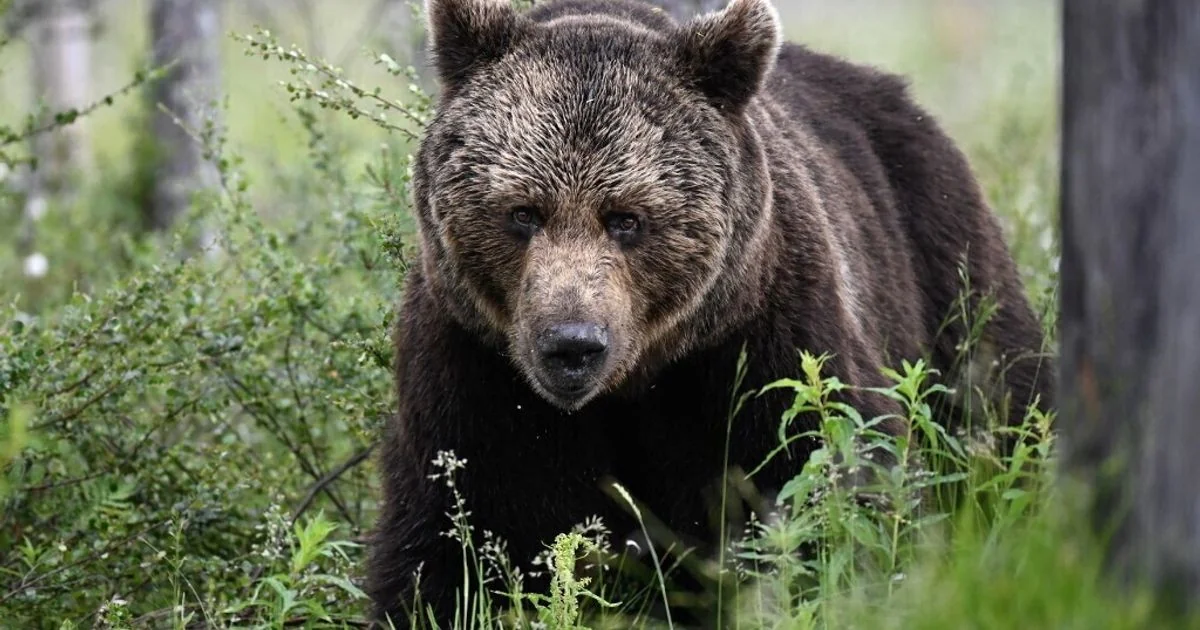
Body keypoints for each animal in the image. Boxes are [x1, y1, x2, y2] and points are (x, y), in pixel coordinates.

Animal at [365, 0, 1056, 626]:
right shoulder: (474, 370)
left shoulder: (758, 344)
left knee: (1001, 402)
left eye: (627, 218)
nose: (572, 345)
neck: (634, 383)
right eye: (523, 212)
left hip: (942, 259)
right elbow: (451, 536)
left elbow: (823, 480)